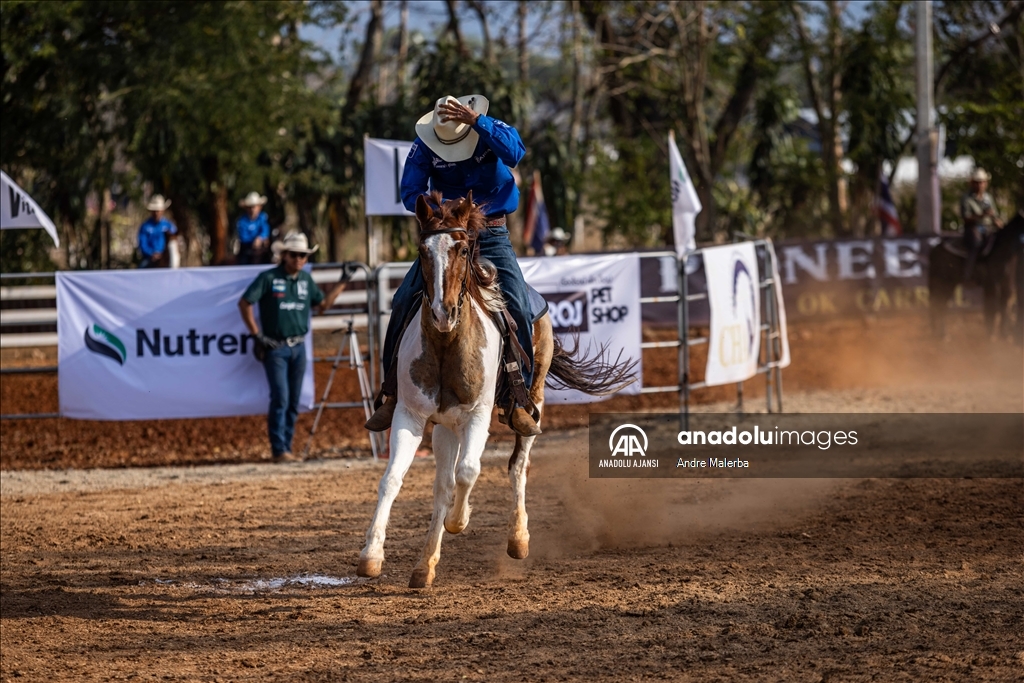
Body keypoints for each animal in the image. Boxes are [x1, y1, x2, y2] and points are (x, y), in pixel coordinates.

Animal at [358, 192, 630, 589]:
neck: (446, 344)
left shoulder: (477, 415)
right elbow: (392, 479)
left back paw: (518, 539)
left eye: (462, 249)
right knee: (442, 486)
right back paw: (424, 567)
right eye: (423, 251)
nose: (442, 313)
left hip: (532, 403)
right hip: (444, 426)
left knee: (517, 466)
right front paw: (371, 556)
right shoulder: (410, 415)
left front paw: (459, 521)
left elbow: (469, 472)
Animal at [933, 209, 1024, 342]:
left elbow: (1004, 308)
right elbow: (992, 308)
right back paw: (942, 335)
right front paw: (991, 335)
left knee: (940, 305)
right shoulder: (992, 285)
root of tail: (935, 248)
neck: (1003, 252)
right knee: (939, 305)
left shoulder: (1007, 287)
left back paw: (940, 334)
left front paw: (1004, 335)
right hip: (944, 283)